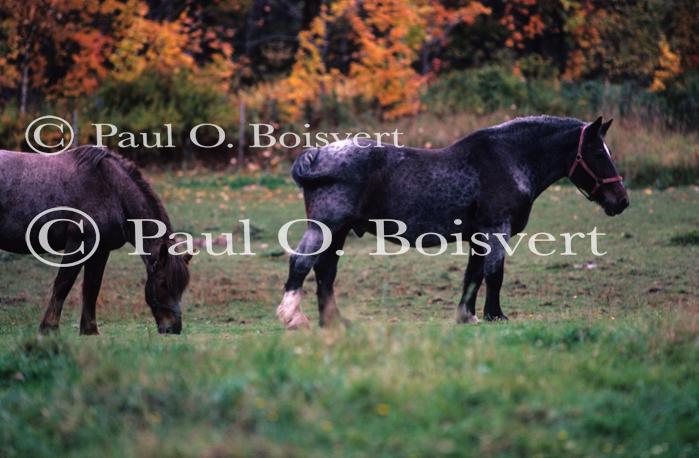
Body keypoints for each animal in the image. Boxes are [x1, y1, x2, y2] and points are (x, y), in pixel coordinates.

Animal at [0, 145, 191, 334]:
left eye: (182, 287)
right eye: (163, 283)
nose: (173, 329)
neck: (112, 189)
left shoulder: (101, 250)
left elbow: (92, 288)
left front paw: (90, 330)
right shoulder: (79, 244)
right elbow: (63, 284)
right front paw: (49, 328)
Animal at [277, 116, 629, 329]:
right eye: (598, 153)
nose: (621, 201)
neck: (509, 160)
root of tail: (317, 155)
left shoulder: (478, 236)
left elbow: (473, 276)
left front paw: (467, 316)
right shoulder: (496, 232)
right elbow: (495, 275)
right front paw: (495, 316)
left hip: (338, 231)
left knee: (325, 271)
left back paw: (333, 322)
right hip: (325, 228)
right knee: (302, 263)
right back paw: (292, 318)